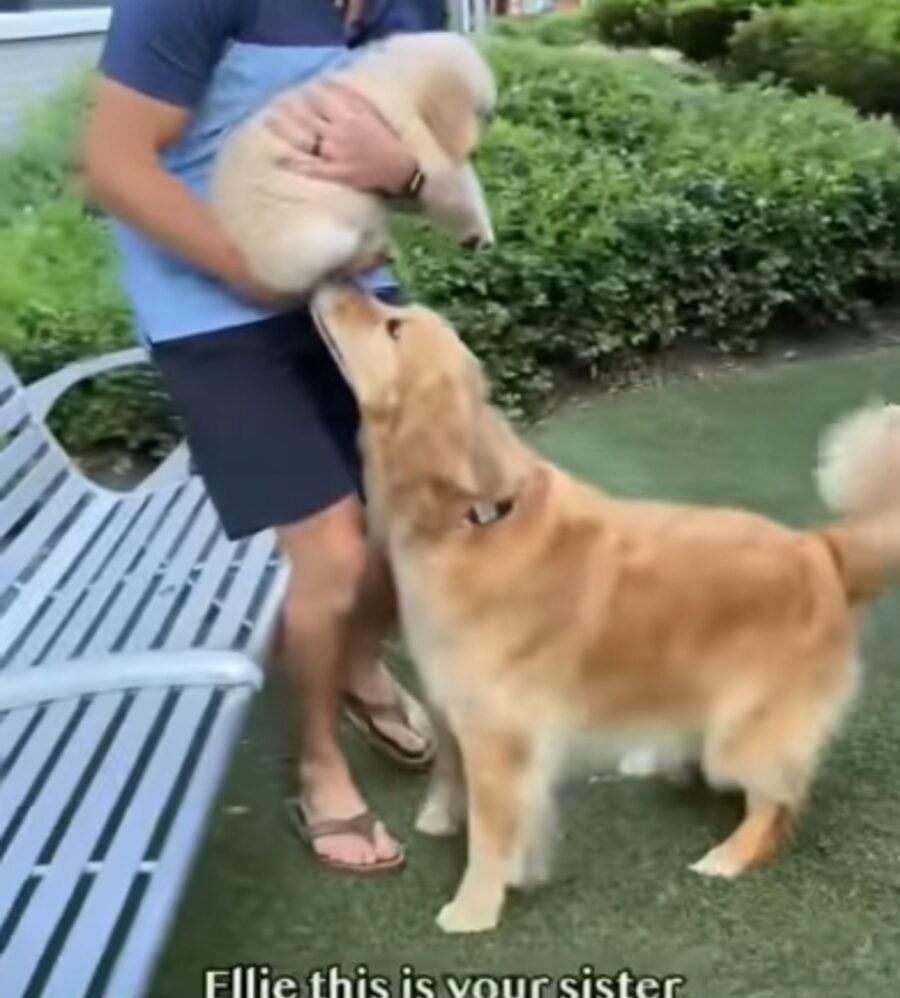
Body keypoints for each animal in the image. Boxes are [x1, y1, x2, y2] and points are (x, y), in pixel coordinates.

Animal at [208, 31, 496, 294]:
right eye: (482, 113)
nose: (474, 151)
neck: (394, 79)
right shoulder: (423, 148)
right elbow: (458, 190)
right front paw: (479, 233)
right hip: (327, 237)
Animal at [312, 282, 900, 936]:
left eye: (393, 327)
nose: (331, 282)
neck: (474, 518)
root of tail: (821, 550)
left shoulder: (501, 734)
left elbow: (494, 833)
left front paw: (474, 906)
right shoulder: (453, 703)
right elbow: (450, 771)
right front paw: (442, 817)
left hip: (744, 736)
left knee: (777, 803)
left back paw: (728, 855)